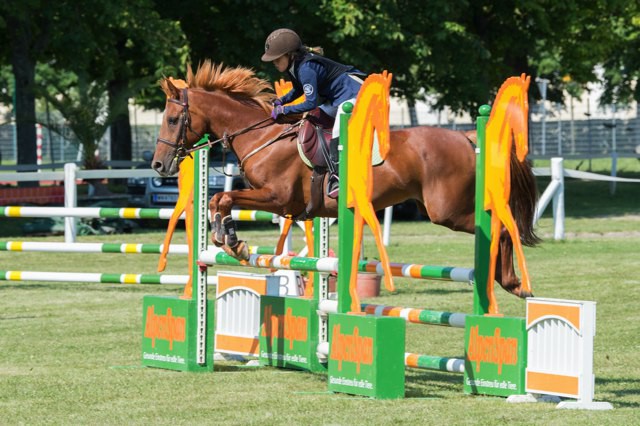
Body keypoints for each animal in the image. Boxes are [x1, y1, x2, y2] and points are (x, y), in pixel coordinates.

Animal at [152, 60, 536, 300]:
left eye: (172, 119)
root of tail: (467, 137)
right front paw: (225, 237)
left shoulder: (278, 198)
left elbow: (225, 198)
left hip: (447, 210)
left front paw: (232, 241)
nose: (158, 165)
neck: (262, 136)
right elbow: (216, 200)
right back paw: (508, 282)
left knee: (502, 227)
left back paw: (513, 282)